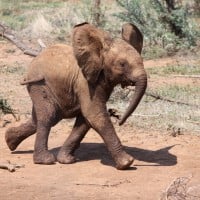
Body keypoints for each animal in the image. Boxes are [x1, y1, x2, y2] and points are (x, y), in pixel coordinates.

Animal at [5, 22, 147, 170]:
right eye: (122, 64)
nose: (119, 120)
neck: (99, 51)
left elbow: (86, 119)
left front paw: (66, 160)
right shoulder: (84, 83)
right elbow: (95, 115)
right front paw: (127, 163)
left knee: (42, 118)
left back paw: (9, 141)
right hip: (39, 84)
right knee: (48, 117)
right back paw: (45, 160)